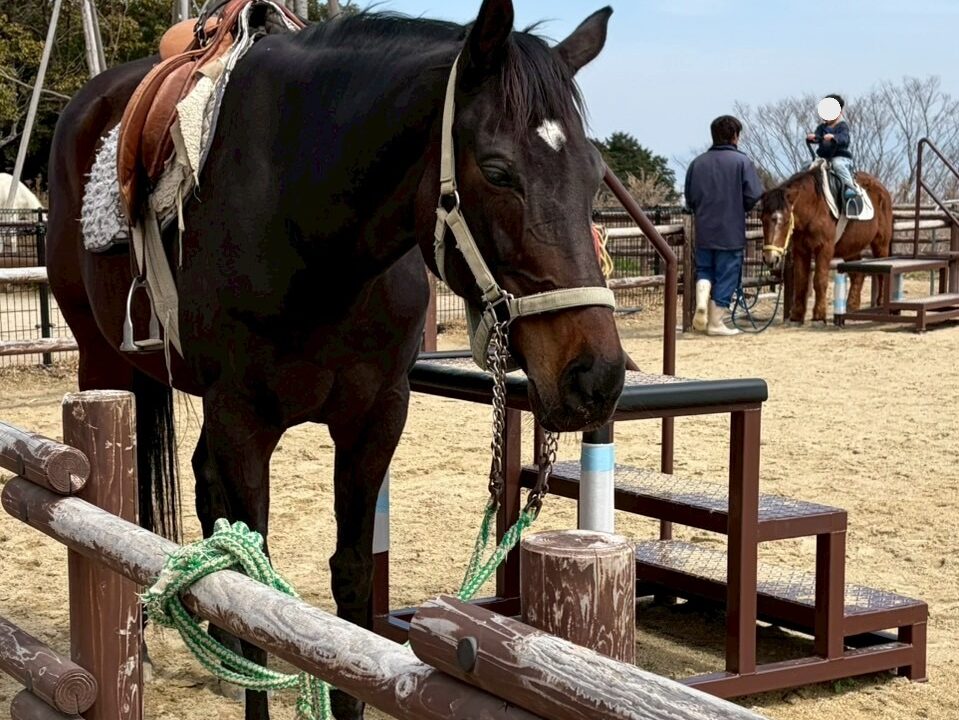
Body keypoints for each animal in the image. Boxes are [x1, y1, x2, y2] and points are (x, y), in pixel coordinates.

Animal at [45, 2, 625, 718]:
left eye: (593, 177)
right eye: (496, 171)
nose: (596, 377)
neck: (308, 233)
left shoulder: (375, 417)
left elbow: (349, 584)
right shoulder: (243, 418)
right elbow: (253, 589)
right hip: (102, 361)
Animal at [761, 167, 893, 323]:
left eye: (786, 220)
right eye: (762, 220)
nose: (770, 258)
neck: (814, 208)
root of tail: (883, 190)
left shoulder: (824, 249)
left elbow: (819, 280)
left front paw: (819, 314)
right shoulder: (801, 250)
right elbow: (801, 281)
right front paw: (797, 315)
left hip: (881, 244)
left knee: (881, 274)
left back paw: (880, 304)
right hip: (851, 248)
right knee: (858, 275)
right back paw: (852, 306)